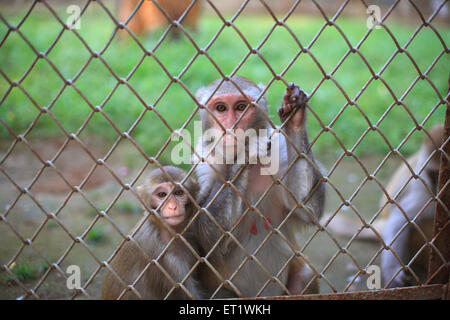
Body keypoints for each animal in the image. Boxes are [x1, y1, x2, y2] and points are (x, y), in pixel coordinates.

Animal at [192, 75, 326, 298]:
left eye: (241, 107)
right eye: (220, 108)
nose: (232, 128)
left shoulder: (279, 151)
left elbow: (306, 209)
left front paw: (294, 116)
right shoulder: (203, 165)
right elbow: (209, 238)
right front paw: (245, 151)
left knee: (305, 274)